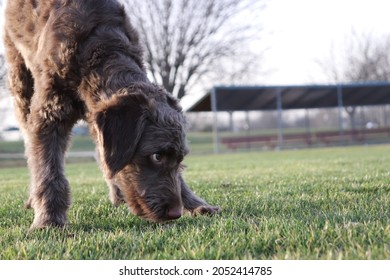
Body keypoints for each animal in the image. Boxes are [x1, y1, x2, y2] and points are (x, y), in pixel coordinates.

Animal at [3, 0, 219, 230]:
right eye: (157, 156)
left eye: (180, 159)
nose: (175, 213)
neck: (100, 50)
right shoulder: (49, 114)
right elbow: (48, 170)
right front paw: (48, 220)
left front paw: (196, 204)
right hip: (20, 80)